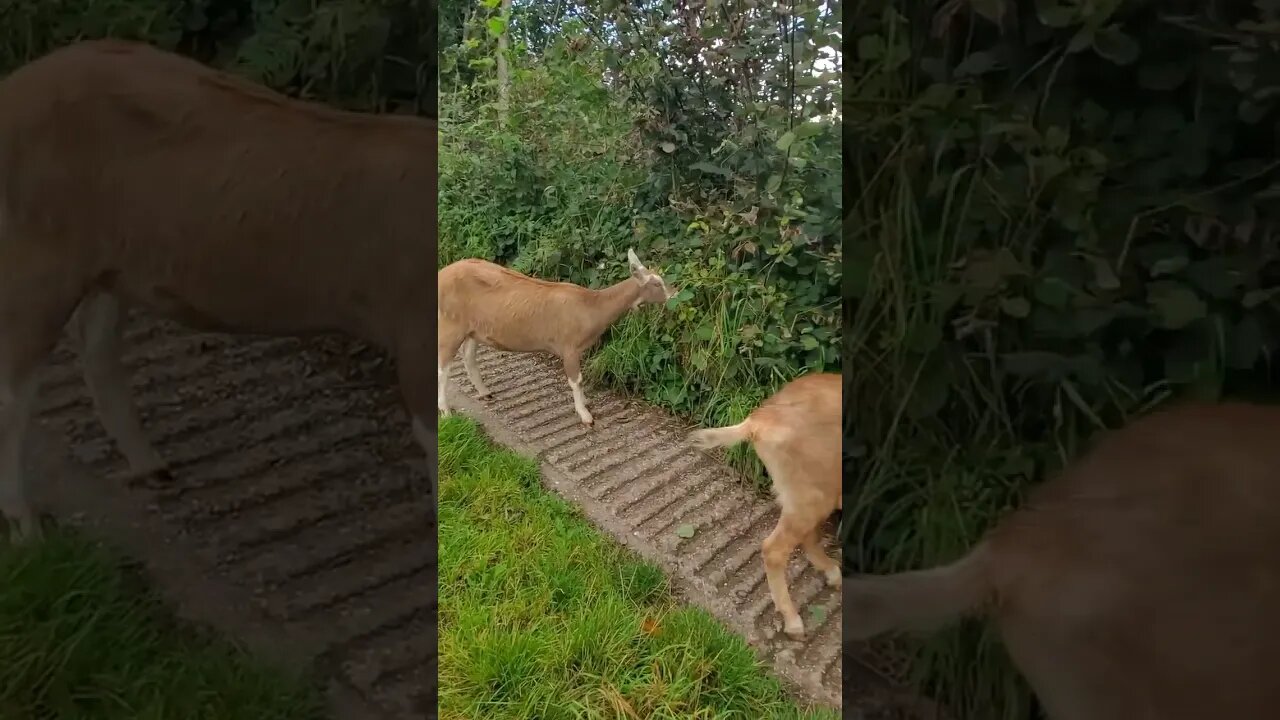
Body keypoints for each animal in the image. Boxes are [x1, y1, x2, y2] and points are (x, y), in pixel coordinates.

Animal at [0, 39, 437, 538]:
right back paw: (25, 525)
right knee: (14, 391)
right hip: (36, 258)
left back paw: (150, 466)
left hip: (108, 265)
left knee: (96, 350)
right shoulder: (419, 336)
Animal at [437, 249, 675, 422]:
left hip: (473, 329)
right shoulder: (569, 347)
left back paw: (484, 392)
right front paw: (585, 415)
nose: (675, 295)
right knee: (443, 369)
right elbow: (576, 380)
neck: (591, 305)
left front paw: (585, 403)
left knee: (468, 358)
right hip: (450, 327)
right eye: (657, 283)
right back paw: (446, 412)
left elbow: (579, 380)